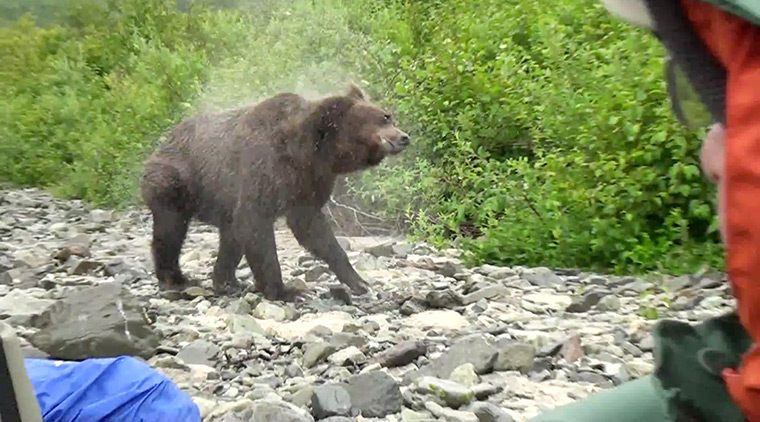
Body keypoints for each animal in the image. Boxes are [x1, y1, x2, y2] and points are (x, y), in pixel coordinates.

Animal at [140, 83, 410, 301]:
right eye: (383, 118)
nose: (404, 137)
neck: (307, 151)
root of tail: (162, 142)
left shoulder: (308, 184)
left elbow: (315, 232)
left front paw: (359, 281)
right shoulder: (263, 168)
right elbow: (257, 226)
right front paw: (283, 290)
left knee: (230, 236)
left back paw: (227, 281)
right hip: (175, 181)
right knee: (170, 230)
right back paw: (176, 278)